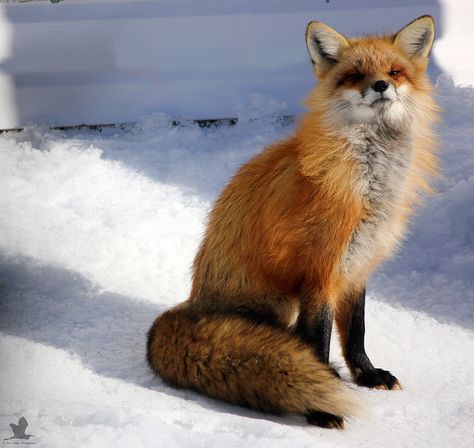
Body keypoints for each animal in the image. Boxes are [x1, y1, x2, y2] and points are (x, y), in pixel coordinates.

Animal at [146, 15, 438, 428]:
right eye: (355, 75)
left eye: (394, 72)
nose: (381, 85)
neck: (368, 183)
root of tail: (193, 304)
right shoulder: (320, 272)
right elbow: (317, 342)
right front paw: (321, 408)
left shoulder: (356, 266)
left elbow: (357, 332)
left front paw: (365, 376)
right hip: (280, 303)